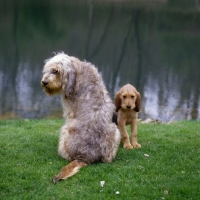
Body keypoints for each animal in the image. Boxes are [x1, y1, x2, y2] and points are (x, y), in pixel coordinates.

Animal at [39, 52, 119, 183]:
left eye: (56, 71)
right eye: (48, 69)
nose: (44, 82)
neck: (78, 69)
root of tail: (85, 156)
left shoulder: (69, 111)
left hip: (66, 130)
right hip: (115, 131)